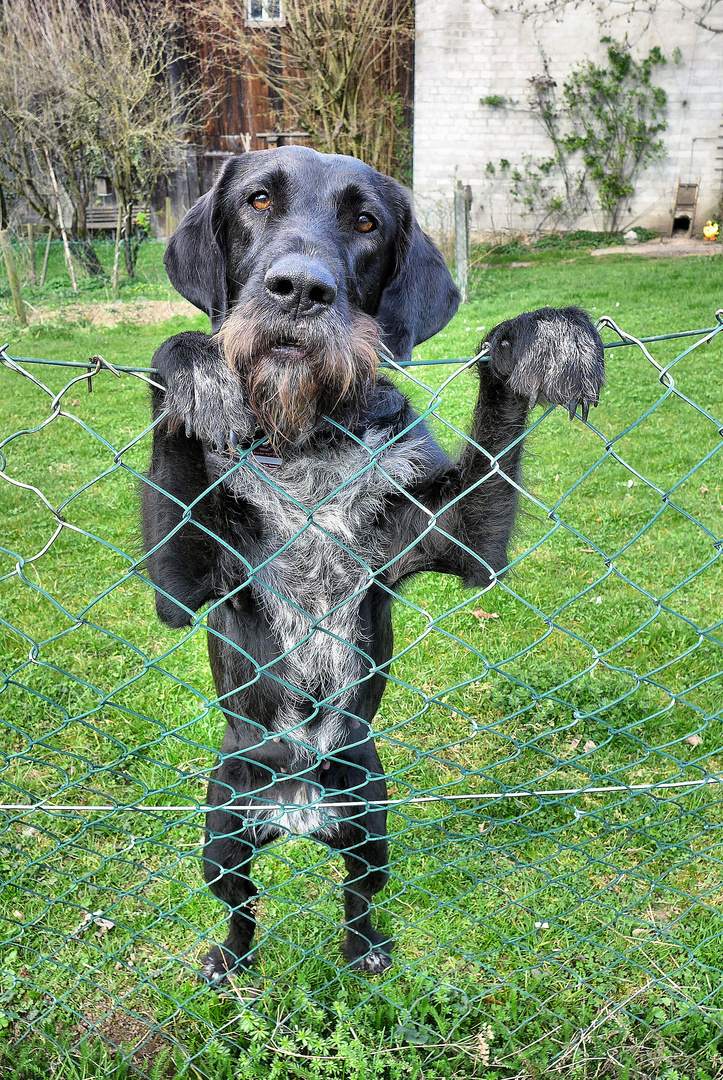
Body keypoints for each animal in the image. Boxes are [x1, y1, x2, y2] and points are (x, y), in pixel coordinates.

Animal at [140, 147, 605, 984]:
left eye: (365, 223)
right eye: (258, 201)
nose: (300, 290)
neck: (307, 439)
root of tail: (299, 817)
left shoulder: (459, 536)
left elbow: (495, 413)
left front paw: (544, 336)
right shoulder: (184, 582)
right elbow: (177, 394)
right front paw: (195, 366)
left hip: (370, 823)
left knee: (356, 896)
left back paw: (363, 952)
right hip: (220, 835)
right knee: (240, 908)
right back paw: (229, 961)